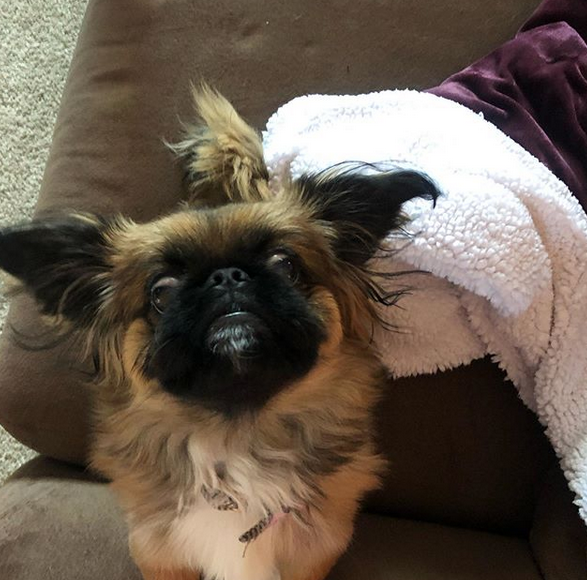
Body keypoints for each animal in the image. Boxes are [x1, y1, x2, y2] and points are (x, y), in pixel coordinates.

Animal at [0, 87, 438, 580]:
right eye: (162, 292)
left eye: (285, 265)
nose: (227, 277)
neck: (238, 440)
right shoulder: (160, 556)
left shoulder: (315, 553)